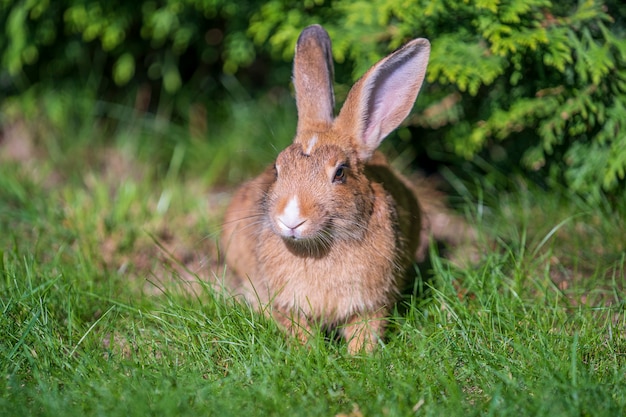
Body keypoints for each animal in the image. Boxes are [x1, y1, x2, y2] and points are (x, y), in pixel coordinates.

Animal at [221, 24, 434, 352]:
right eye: (277, 168)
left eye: (340, 173)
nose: (291, 218)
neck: (319, 247)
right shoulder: (286, 306)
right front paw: (309, 352)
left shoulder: (371, 306)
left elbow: (366, 332)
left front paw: (360, 357)